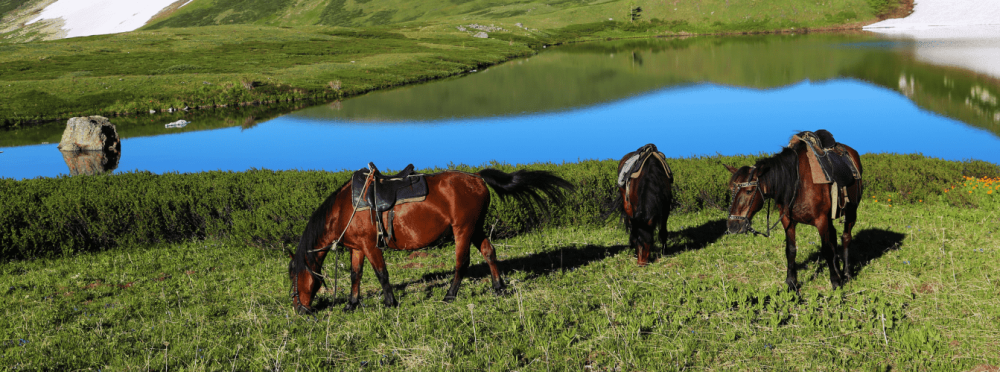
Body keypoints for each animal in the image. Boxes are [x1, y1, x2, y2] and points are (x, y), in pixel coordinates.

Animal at [286, 167, 576, 312]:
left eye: (294, 277)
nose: (299, 309)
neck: (348, 207)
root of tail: (477, 178)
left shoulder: (369, 245)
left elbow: (381, 273)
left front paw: (390, 303)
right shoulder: (357, 247)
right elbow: (356, 275)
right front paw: (351, 304)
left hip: (463, 229)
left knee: (462, 262)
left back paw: (449, 295)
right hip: (476, 228)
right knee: (489, 252)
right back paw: (498, 287)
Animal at [728, 131, 860, 290]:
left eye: (748, 191)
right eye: (731, 190)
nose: (733, 226)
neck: (797, 183)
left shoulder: (821, 220)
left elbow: (827, 250)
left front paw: (835, 281)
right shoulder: (788, 220)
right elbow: (791, 250)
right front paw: (791, 282)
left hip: (851, 211)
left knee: (846, 237)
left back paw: (846, 274)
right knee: (834, 237)